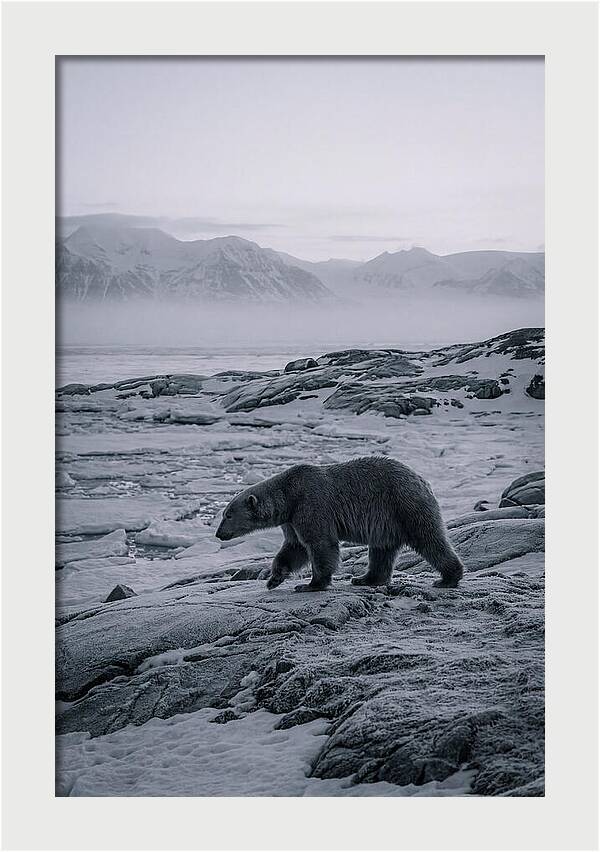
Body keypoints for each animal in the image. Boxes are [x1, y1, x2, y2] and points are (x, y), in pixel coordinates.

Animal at [215, 456, 464, 592]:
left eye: (227, 515)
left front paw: (311, 584)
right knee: (381, 551)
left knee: (429, 539)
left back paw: (448, 578)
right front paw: (274, 578)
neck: (289, 495)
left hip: (404, 505)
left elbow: (320, 544)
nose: (218, 534)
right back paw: (364, 578)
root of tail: (422, 480)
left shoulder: (311, 504)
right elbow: (294, 547)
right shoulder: (292, 519)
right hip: (387, 521)